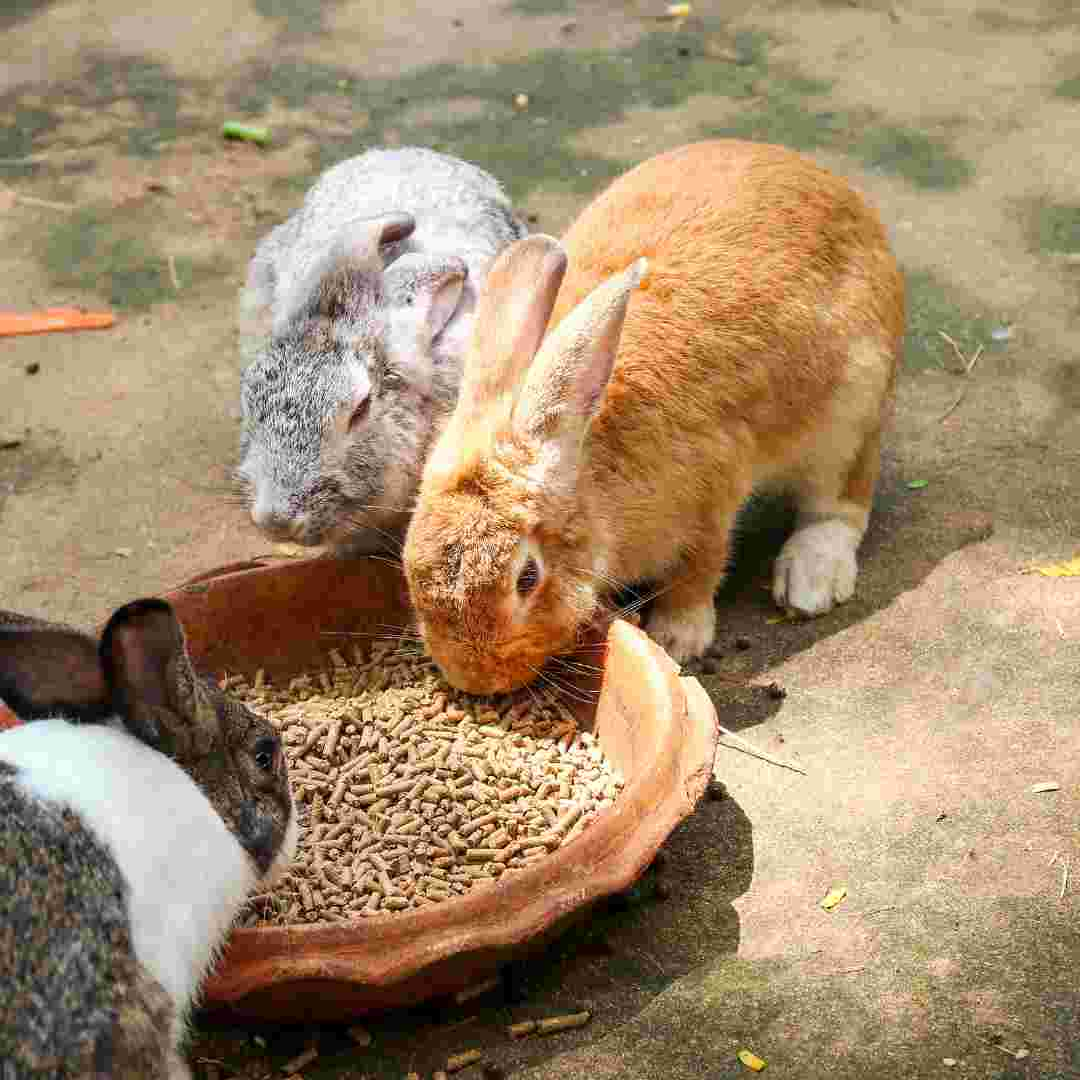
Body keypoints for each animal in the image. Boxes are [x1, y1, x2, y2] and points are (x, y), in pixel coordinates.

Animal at [403, 141, 902, 691]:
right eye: (409, 565)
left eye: (527, 578)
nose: (473, 678)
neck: (590, 473)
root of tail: (838, 189)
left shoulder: (713, 494)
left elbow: (700, 569)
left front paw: (676, 639)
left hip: (849, 410)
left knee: (841, 502)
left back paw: (811, 581)